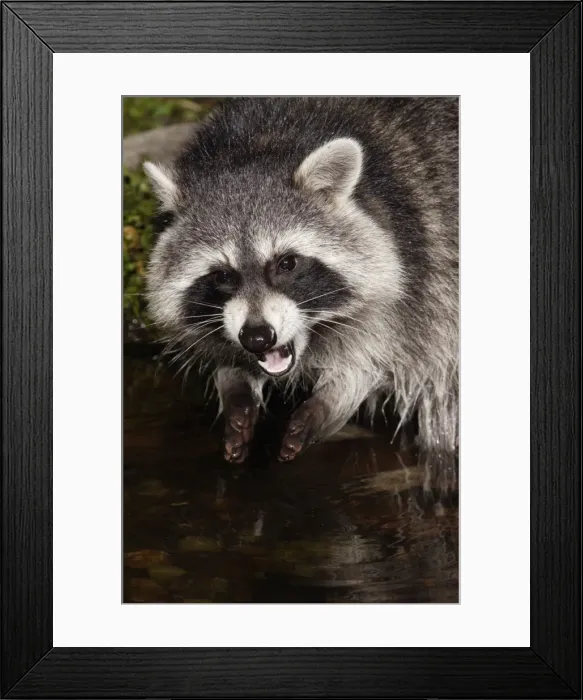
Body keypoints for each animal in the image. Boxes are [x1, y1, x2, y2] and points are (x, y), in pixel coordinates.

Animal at [144, 97, 458, 463]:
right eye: (222, 275)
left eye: (287, 263)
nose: (257, 337)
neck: (258, 145)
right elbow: (228, 360)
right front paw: (236, 386)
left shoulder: (416, 273)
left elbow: (371, 362)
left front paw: (333, 400)